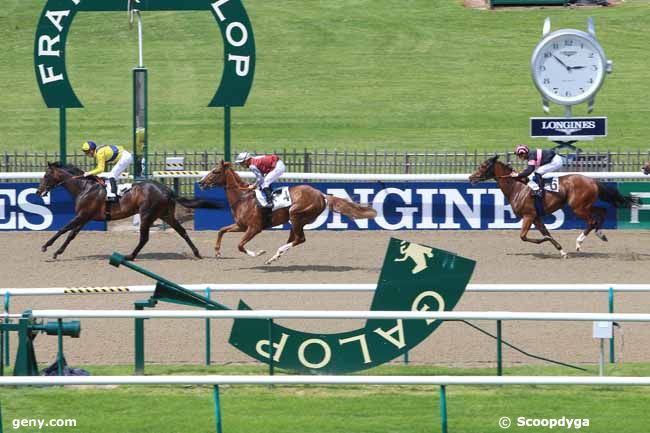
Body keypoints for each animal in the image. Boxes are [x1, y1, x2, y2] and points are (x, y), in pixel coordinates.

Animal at [38, 160, 220, 258]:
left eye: (46, 175)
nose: (38, 191)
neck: (84, 187)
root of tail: (167, 190)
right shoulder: (85, 217)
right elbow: (71, 234)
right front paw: (57, 252)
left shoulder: (82, 215)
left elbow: (63, 229)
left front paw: (46, 246)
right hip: (166, 214)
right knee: (182, 231)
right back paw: (196, 252)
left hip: (147, 214)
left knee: (144, 238)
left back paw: (131, 256)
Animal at [197, 160, 374, 264]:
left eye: (215, 171)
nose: (200, 182)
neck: (243, 198)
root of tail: (321, 195)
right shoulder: (241, 226)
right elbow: (221, 230)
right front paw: (217, 252)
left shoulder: (254, 228)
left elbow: (240, 245)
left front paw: (259, 252)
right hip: (297, 220)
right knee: (295, 238)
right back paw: (276, 255)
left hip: (296, 214)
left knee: (300, 239)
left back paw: (277, 252)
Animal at [468, 154, 636, 256]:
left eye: (483, 166)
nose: (470, 177)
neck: (517, 187)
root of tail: (592, 180)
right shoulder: (536, 217)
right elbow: (545, 232)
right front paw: (561, 250)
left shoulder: (528, 216)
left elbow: (524, 236)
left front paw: (546, 242)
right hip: (585, 205)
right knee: (602, 212)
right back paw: (601, 234)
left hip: (577, 208)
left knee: (592, 221)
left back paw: (579, 242)